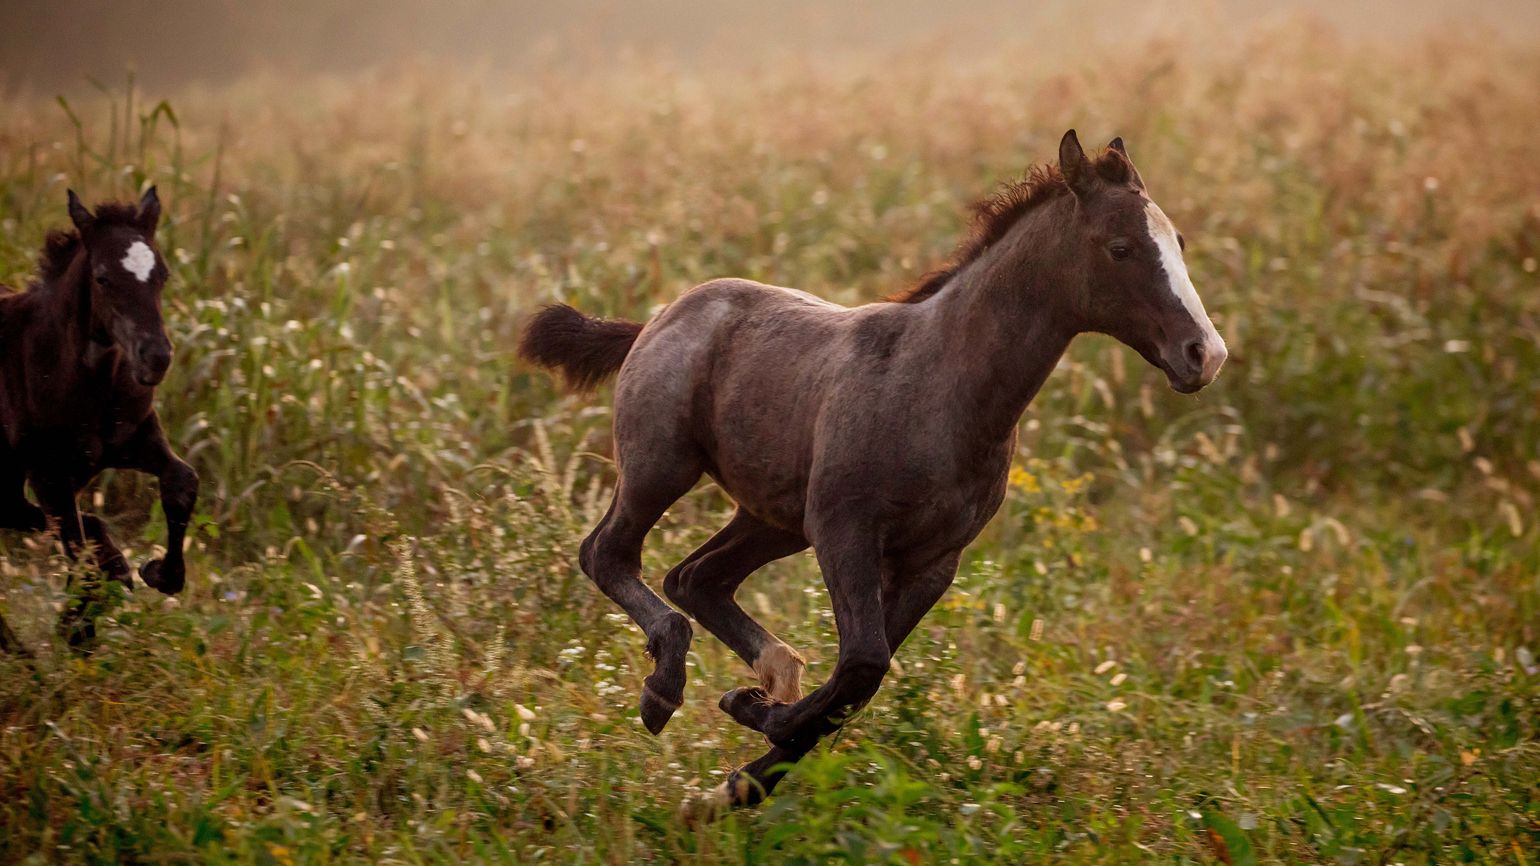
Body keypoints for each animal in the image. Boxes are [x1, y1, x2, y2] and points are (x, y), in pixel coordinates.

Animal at [0, 185, 198, 650]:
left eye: (162, 274)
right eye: (104, 278)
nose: (156, 358)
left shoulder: (135, 440)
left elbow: (182, 483)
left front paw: (159, 573)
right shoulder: (49, 473)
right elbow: (75, 542)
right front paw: (78, 627)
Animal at [517, 129, 1225, 807]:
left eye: (1179, 243)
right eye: (1120, 248)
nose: (1205, 354)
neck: (942, 384)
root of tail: (658, 319)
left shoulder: (934, 560)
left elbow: (855, 685)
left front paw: (734, 776)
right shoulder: (845, 530)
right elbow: (862, 663)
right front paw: (752, 715)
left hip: (775, 518)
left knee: (695, 576)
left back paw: (772, 671)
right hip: (663, 467)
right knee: (608, 553)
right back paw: (665, 688)